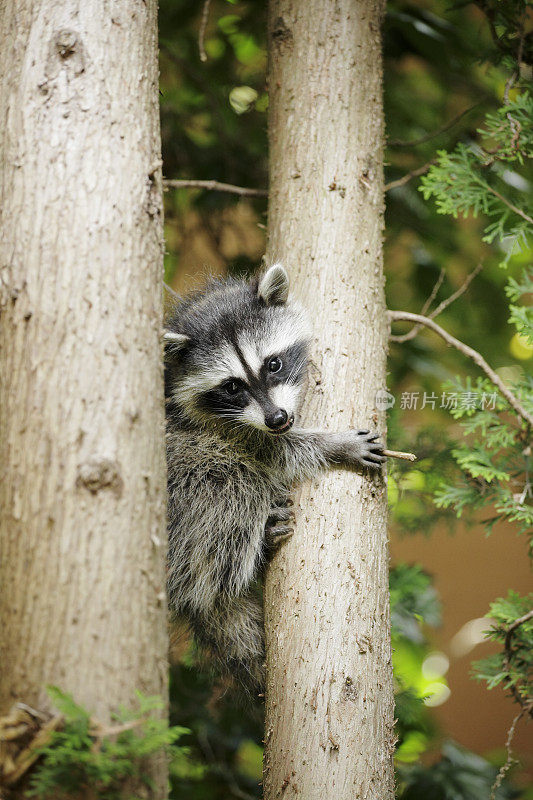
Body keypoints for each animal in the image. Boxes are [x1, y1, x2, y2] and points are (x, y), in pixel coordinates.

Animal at [164, 266, 384, 692]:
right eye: (232, 386)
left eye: (274, 364)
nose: (278, 418)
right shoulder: (206, 430)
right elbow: (273, 453)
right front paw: (335, 444)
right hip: (179, 489)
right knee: (229, 488)